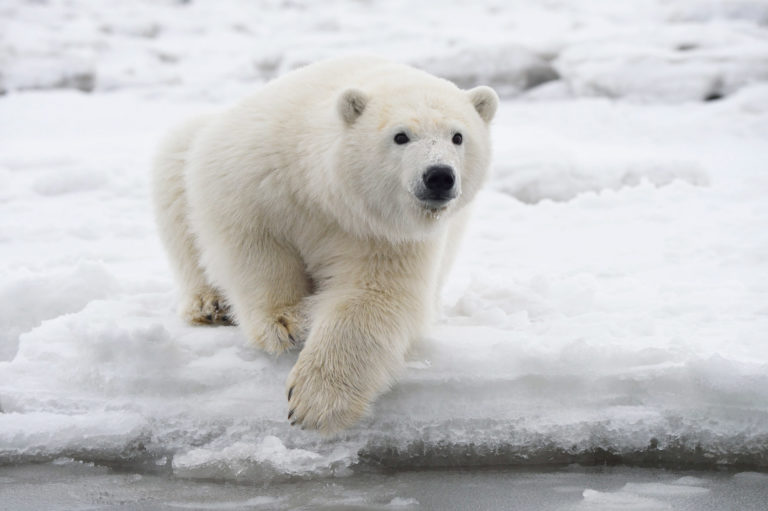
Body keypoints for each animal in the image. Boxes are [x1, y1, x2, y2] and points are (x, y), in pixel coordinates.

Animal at [152, 56, 498, 433]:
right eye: (401, 136)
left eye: (458, 136)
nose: (439, 176)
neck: (327, 194)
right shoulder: (260, 171)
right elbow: (250, 239)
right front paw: (285, 322)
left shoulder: (386, 235)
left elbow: (374, 297)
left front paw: (314, 401)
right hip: (190, 148)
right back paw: (208, 304)